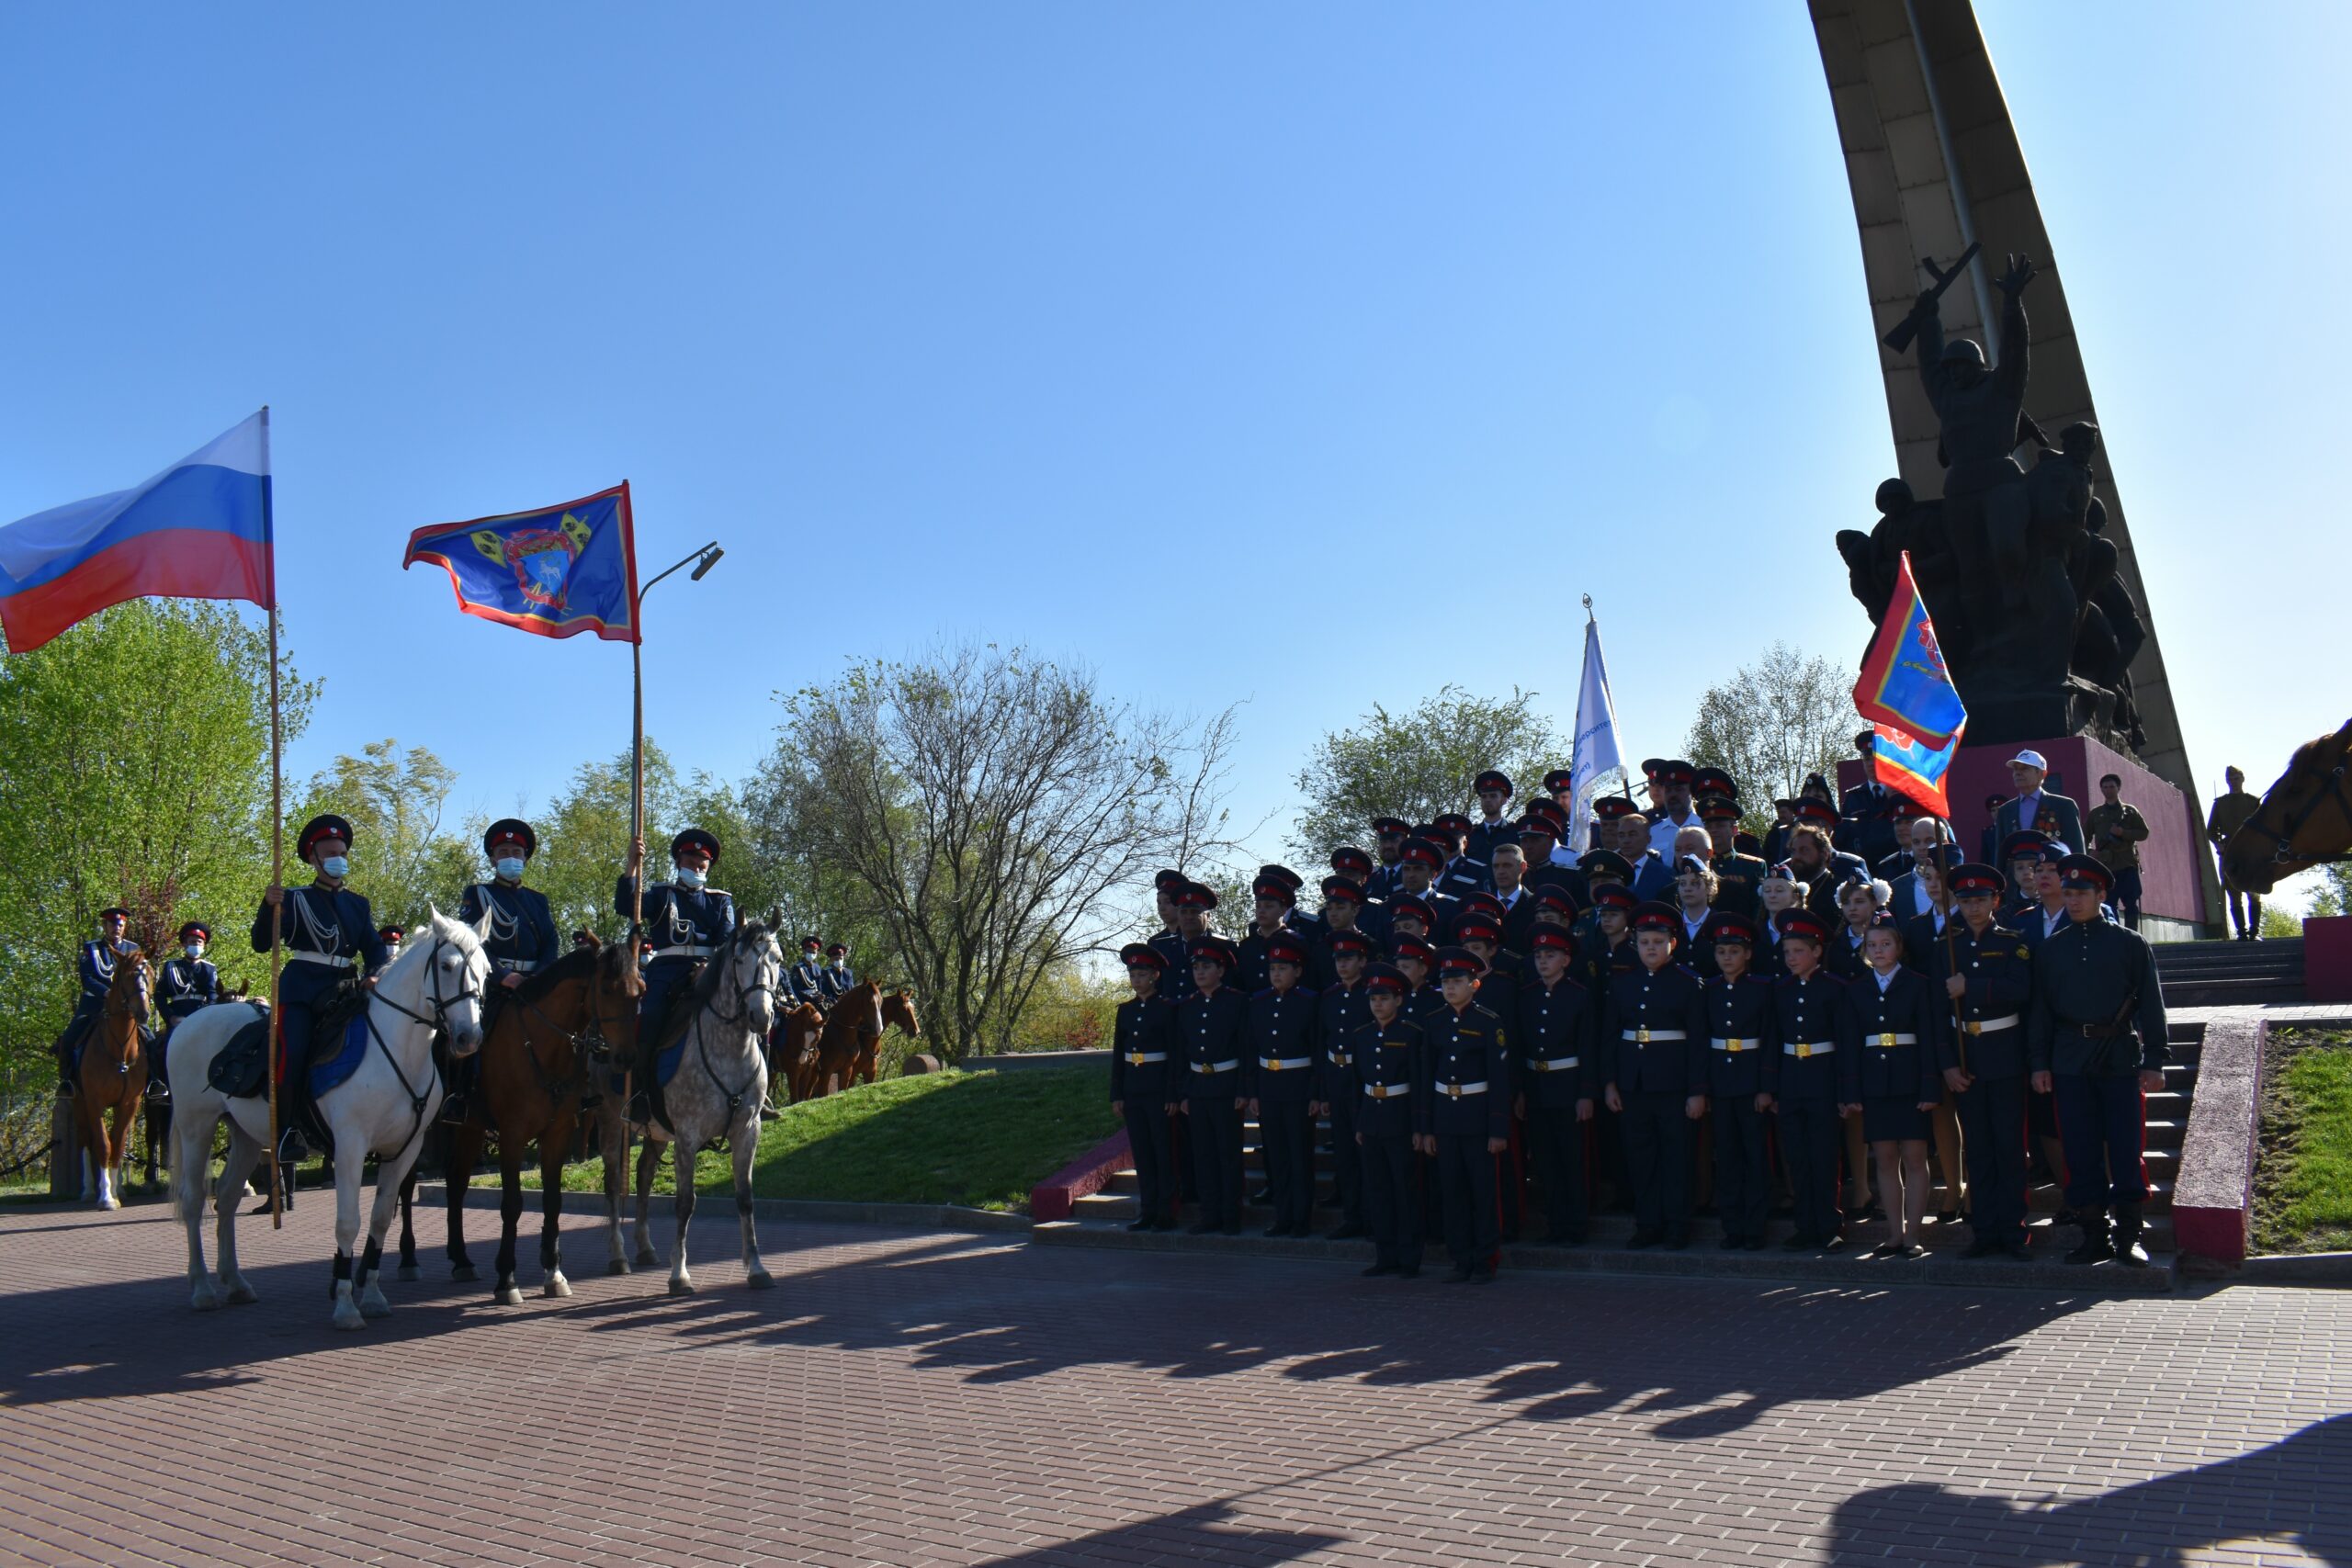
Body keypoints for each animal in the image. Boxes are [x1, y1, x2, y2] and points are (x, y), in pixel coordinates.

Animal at [74, 944, 152, 1213]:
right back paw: (88, 1190)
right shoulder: (94, 1102)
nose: (144, 1013)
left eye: (150, 973)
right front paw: (106, 1197)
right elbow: (102, 1144)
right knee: (85, 1141)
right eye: (128, 975)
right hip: (79, 1102)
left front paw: (115, 1192)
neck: (119, 1049)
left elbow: (118, 1145)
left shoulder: (129, 1103)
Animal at [171, 911, 493, 1335]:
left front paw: (371, 1297)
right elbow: (348, 1222)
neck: (397, 1049)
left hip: (244, 1136)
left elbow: (380, 1220)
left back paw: (236, 1282)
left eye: (486, 971)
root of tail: (191, 1021)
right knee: (194, 1201)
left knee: (225, 1199)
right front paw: (345, 1304)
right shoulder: (351, 1147)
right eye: (447, 966)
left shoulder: (403, 1151)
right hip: (196, 1127)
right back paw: (202, 1288)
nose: (469, 1037)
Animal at [437, 940, 639, 1306]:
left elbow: (553, 1201)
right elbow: (512, 1204)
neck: (543, 1046)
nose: (626, 1057)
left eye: (640, 989)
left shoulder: (557, 1134)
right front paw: (506, 1279)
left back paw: (461, 1260)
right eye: (605, 988)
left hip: (470, 1129)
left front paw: (554, 1272)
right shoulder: (512, 1137)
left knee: (456, 1183)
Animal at [630, 926, 786, 1297]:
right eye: (739, 959)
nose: (762, 1016)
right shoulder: (687, 1137)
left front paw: (756, 1268)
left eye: (777, 959)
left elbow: (745, 1198)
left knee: (643, 1173)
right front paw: (679, 1274)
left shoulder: (748, 1131)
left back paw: (644, 1248)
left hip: (655, 1133)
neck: (730, 1050)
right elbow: (685, 1203)